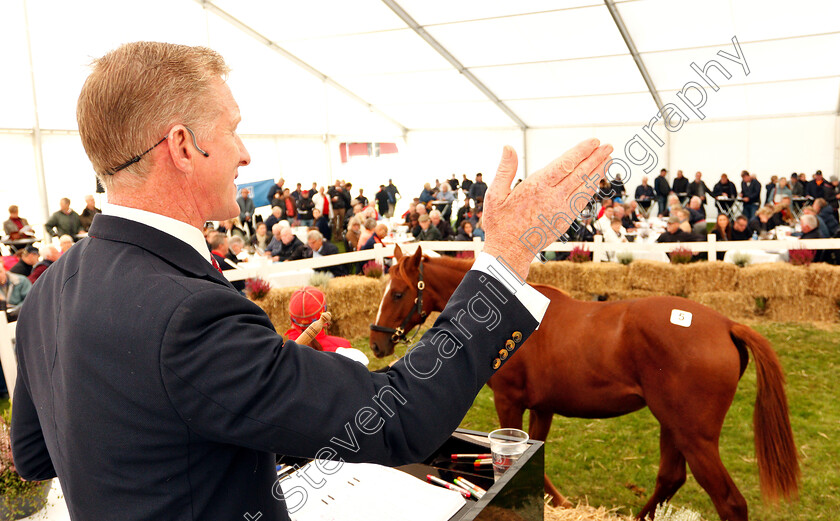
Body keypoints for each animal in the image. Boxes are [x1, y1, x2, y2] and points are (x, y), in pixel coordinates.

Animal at [370, 247, 796, 520]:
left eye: (398, 293)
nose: (376, 343)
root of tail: (726, 324)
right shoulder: (542, 407)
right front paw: (560, 504)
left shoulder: (510, 403)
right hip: (673, 426)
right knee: (670, 478)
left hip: (695, 436)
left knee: (730, 503)